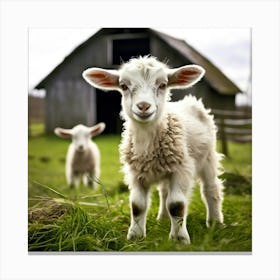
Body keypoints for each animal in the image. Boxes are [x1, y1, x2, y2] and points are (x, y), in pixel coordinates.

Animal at [82, 55, 224, 243]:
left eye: (163, 85)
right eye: (124, 86)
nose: (143, 106)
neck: (147, 145)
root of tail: (191, 101)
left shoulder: (181, 169)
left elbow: (176, 205)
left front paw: (179, 239)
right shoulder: (136, 173)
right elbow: (137, 205)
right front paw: (135, 236)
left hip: (208, 157)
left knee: (210, 188)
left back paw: (215, 222)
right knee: (164, 192)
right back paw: (162, 218)